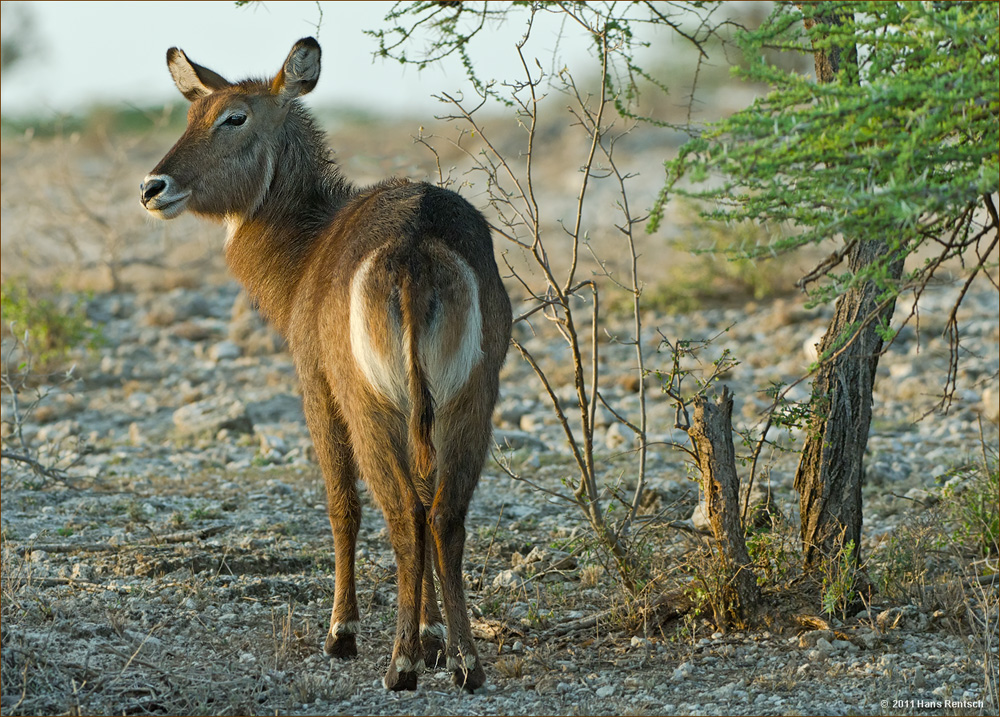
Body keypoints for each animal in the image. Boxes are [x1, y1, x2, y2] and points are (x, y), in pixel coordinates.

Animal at [139, 36, 508, 692]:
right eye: (192, 114)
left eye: (234, 117)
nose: (153, 188)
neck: (308, 243)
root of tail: (416, 246)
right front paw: (433, 636)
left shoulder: (315, 387)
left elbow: (342, 506)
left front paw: (344, 632)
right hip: (468, 400)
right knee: (443, 513)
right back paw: (465, 662)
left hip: (371, 404)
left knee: (402, 512)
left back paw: (398, 664)